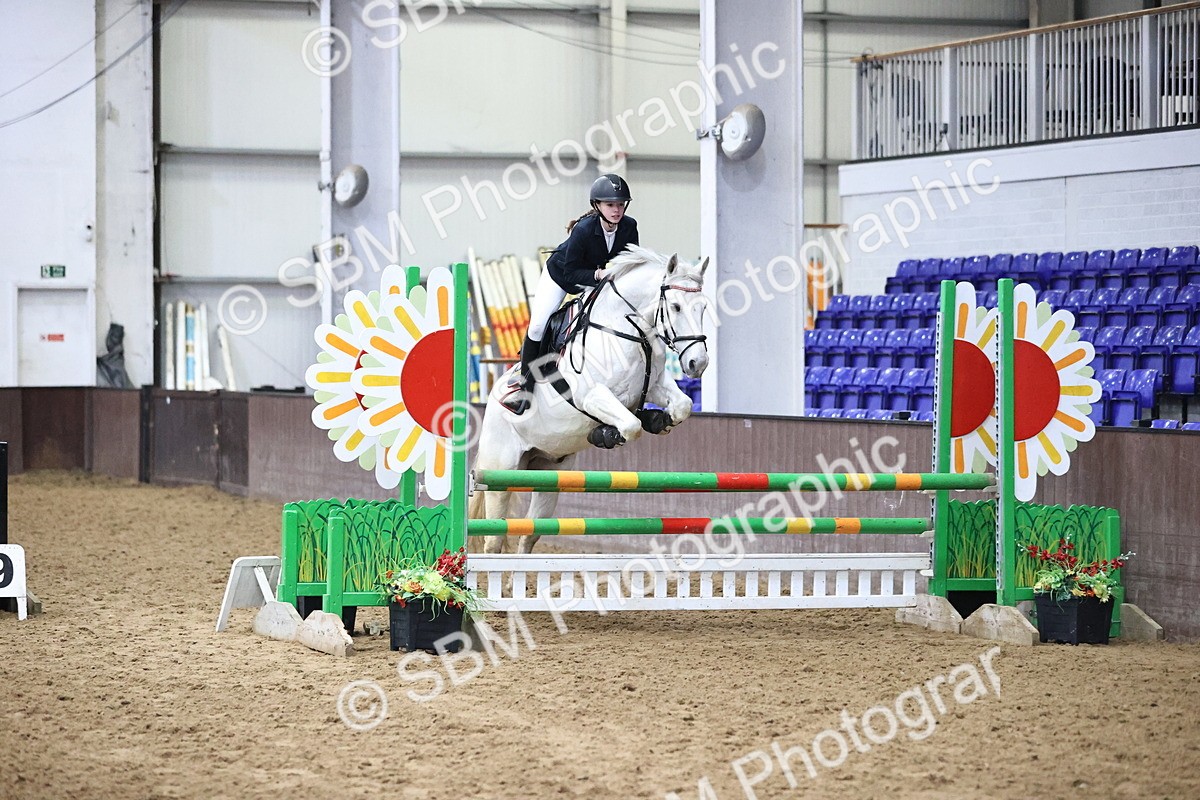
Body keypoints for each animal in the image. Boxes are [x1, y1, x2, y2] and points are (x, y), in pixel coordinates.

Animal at [470, 246, 711, 555]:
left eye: (703, 307)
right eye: (677, 307)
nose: (697, 364)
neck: (628, 331)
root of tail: (491, 401)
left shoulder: (655, 385)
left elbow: (681, 406)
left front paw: (655, 419)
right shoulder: (591, 395)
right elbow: (630, 425)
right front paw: (605, 434)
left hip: (549, 472)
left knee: (529, 534)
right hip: (501, 470)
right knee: (493, 540)